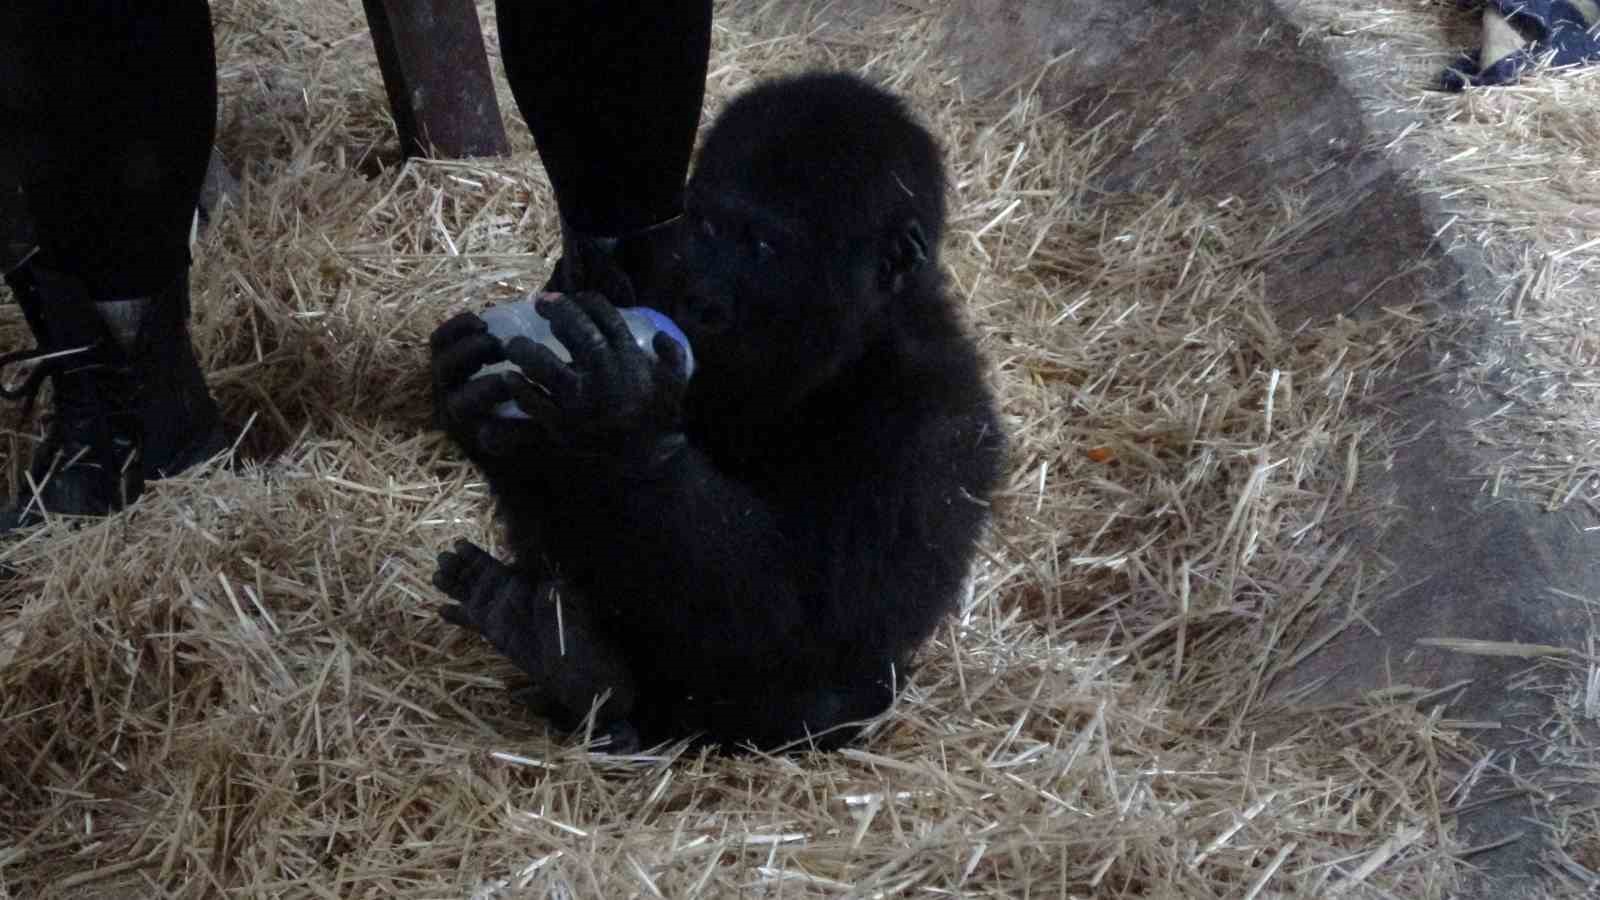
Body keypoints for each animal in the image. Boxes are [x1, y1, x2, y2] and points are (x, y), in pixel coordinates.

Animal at [425, 70, 998, 746]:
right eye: (707, 229)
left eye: (763, 245)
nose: (702, 294)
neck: (850, 346)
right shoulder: (645, 272)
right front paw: (476, 406)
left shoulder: (936, 426)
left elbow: (809, 624)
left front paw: (624, 424)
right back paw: (562, 655)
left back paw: (587, 675)